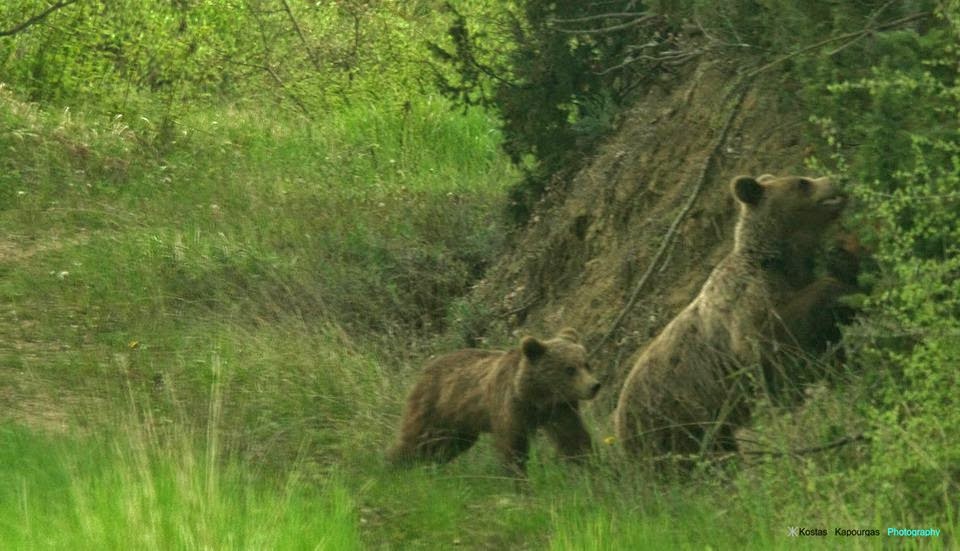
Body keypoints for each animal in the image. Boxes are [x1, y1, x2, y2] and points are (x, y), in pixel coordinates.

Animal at [384, 328, 596, 474]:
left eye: (586, 364)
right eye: (569, 369)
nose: (594, 386)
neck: (536, 396)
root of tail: (427, 366)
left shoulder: (560, 408)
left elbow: (573, 437)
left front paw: (586, 467)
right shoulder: (510, 406)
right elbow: (512, 443)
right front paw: (517, 476)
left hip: (460, 424)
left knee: (448, 445)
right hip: (432, 405)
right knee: (415, 437)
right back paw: (392, 466)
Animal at [616, 175, 848, 460]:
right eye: (802, 182)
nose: (835, 180)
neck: (775, 260)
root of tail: (618, 427)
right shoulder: (746, 303)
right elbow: (765, 341)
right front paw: (835, 288)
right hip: (670, 420)